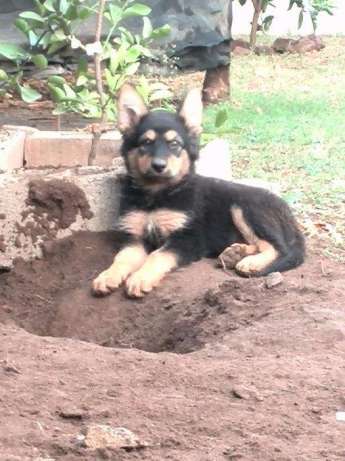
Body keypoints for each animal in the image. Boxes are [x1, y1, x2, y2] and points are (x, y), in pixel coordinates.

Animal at [91, 84, 304, 296]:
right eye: (146, 143)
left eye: (174, 144)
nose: (158, 166)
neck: (157, 195)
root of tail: (290, 216)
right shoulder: (134, 236)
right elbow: (122, 258)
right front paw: (107, 276)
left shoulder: (188, 238)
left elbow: (157, 255)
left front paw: (141, 278)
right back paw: (235, 253)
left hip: (245, 207)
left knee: (278, 247)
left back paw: (250, 262)